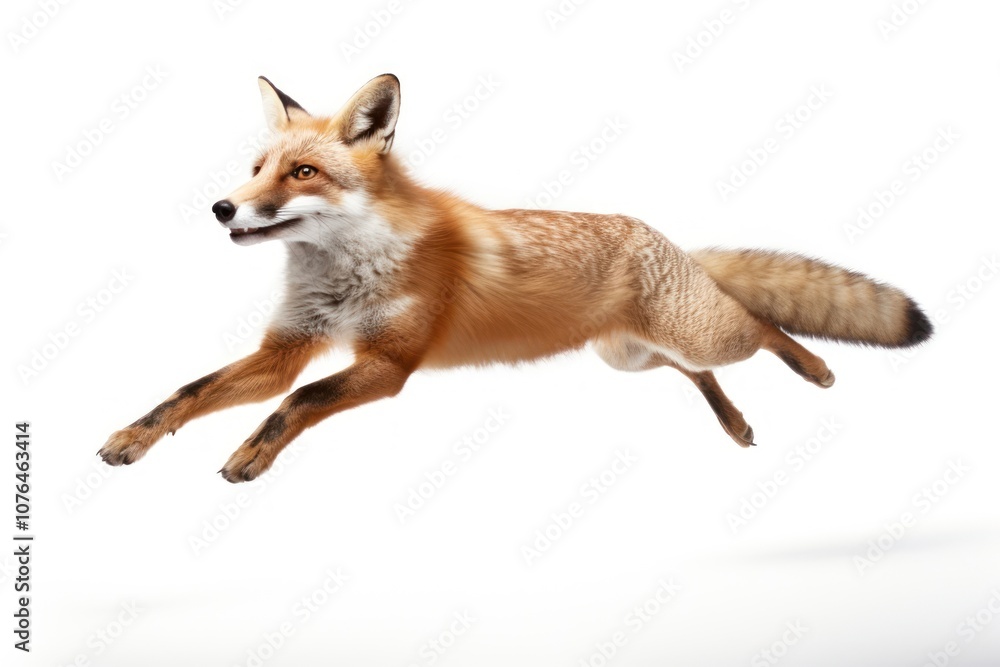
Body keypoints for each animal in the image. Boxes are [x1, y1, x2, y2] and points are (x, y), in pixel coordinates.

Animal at [98, 73, 933, 483]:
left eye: (302, 173)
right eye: (256, 168)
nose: (222, 206)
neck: (347, 272)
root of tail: (670, 241)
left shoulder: (389, 362)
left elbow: (296, 403)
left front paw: (251, 455)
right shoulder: (287, 347)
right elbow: (187, 392)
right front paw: (132, 438)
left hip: (693, 332)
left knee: (757, 324)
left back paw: (815, 368)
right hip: (629, 355)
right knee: (697, 370)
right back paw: (735, 422)